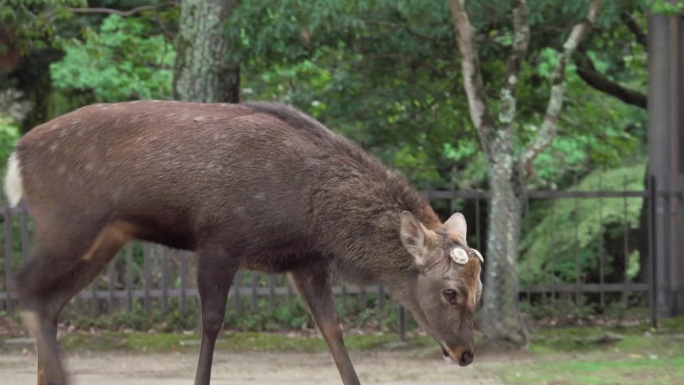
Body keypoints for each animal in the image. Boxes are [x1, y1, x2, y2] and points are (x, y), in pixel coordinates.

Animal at [5, 100, 486, 384]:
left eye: (479, 290)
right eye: (450, 291)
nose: (465, 353)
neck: (312, 216)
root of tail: (17, 156)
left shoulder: (305, 261)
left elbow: (331, 328)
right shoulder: (220, 240)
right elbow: (212, 323)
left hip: (104, 239)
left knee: (49, 302)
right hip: (68, 224)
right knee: (25, 285)